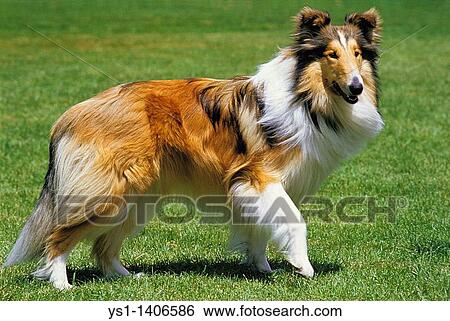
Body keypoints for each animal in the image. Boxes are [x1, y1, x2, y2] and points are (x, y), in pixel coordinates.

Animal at [3, 7, 384, 288]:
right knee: (59, 235)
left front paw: (262, 267)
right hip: (108, 192)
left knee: (103, 246)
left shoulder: (254, 188)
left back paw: (127, 276)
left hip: (138, 198)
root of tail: (72, 113)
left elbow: (260, 229)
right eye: (331, 55)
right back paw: (60, 283)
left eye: (357, 54)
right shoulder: (259, 176)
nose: (356, 87)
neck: (304, 96)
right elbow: (294, 221)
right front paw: (302, 266)